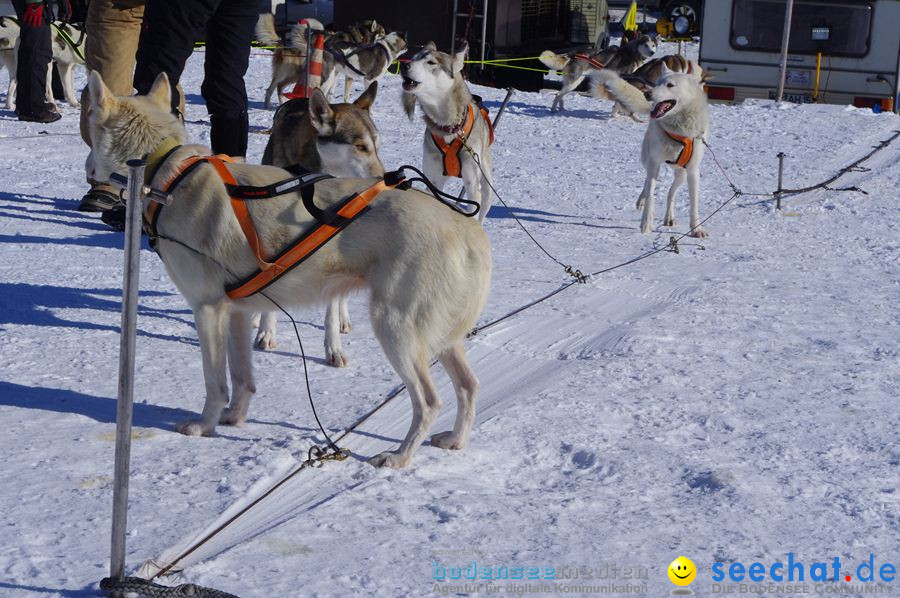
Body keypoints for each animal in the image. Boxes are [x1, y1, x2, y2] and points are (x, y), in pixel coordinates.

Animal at [260, 82, 386, 368]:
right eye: (359, 146)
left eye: (377, 145)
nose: (385, 179)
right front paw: (266, 331)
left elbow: (331, 306)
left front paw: (333, 349)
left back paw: (343, 318)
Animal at [400, 42, 496, 223]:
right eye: (414, 57)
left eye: (431, 62)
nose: (404, 65)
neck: (450, 128)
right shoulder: (432, 180)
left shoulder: (472, 182)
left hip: (486, 183)